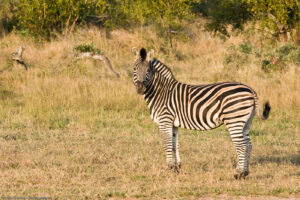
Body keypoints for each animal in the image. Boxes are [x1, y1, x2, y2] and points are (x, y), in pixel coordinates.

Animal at [132, 47, 270, 180]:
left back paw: (238, 174)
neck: (161, 92)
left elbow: (167, 144)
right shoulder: (173, 123)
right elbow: (174, 145)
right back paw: (245, 172)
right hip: (246, 121)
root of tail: (250, 90)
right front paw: (177, 168)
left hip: (234, 120)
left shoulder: (164, 120)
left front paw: (170, 167)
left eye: (148, 70)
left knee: (242, 146)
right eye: (134, 69)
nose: (140, 88)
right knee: (249, 145)